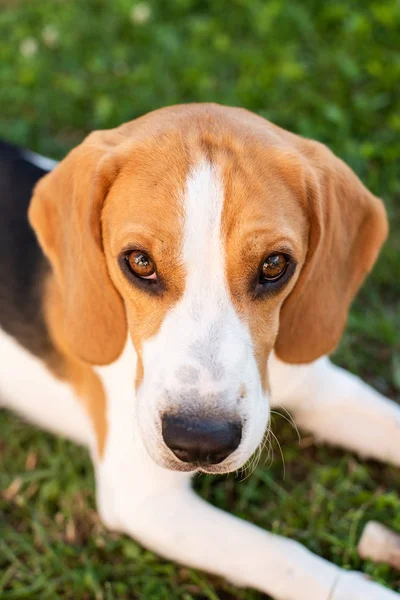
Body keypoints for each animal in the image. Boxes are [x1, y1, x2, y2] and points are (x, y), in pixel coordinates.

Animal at [0, 105, 400, 596]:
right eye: (139, 262)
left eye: (274, 265)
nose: (200, 443)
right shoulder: (146, 500)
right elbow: (274, 553)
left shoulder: (322, 388)